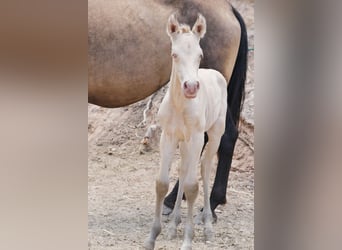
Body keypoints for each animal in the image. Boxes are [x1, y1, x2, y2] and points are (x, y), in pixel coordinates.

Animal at [144, 14, 227, 250]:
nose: (190, 87)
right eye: (174, 55)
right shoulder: (168, 136)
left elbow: (192, 186)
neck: (180, 106)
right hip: (184, 141)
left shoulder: (197, 137)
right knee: (183, 169)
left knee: (205, 169)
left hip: (214, 133)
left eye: (200, 55)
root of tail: (215, 74)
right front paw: (153, 237)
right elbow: (162, 183)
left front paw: (188, 239)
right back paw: (174, 225)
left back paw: (207, 226)